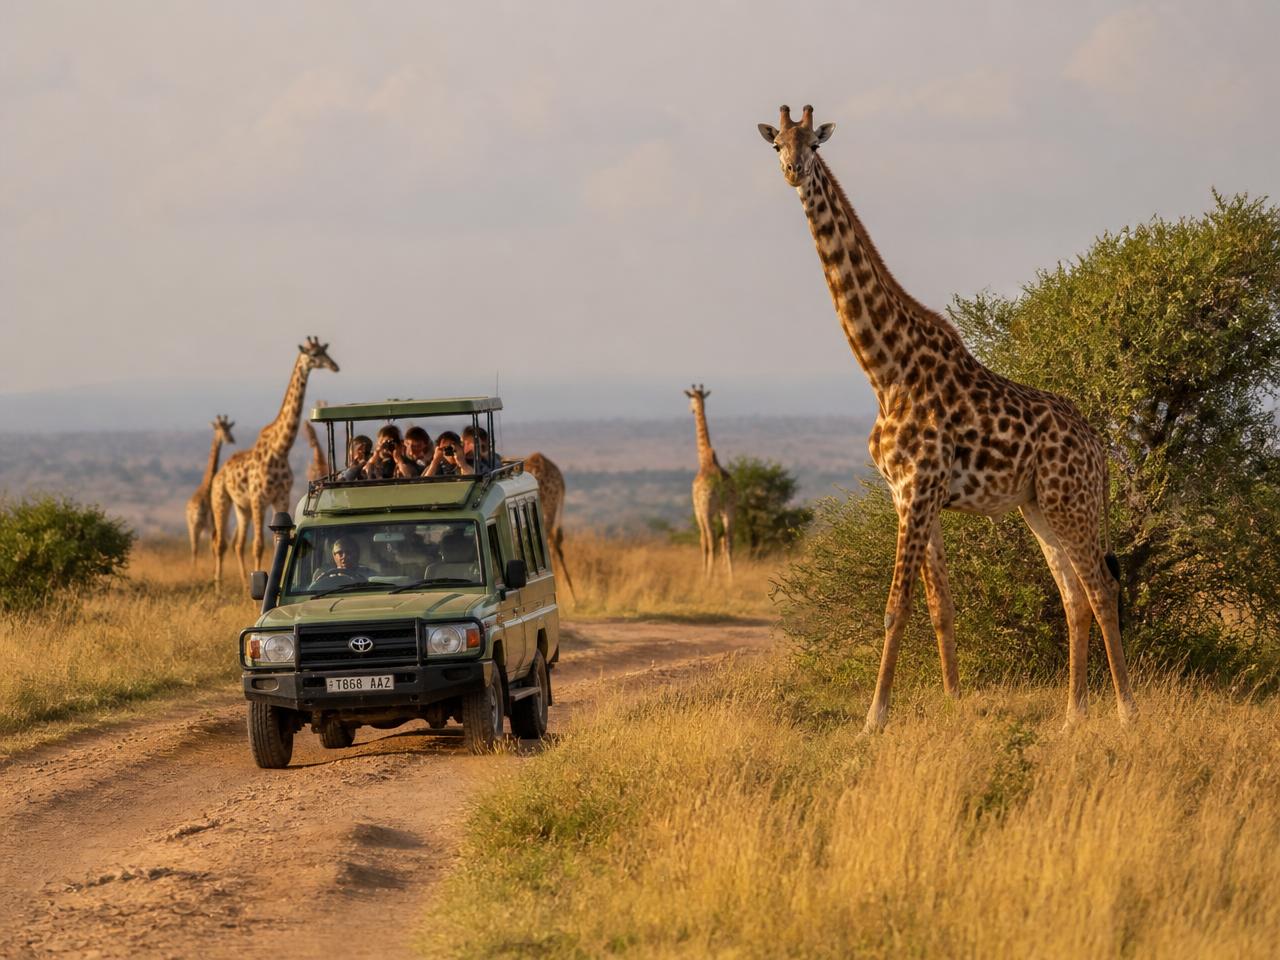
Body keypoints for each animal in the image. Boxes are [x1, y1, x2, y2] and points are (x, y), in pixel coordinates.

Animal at [184, 415, 236, 567]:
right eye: (222, 430)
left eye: (229, 428)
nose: (231, 439)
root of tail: (192, 509)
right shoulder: (212, 524)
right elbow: (212, 548)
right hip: (200, 525)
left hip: (192, 526)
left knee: (194, 549)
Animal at [210, 337, 338, 587]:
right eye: (314, 354)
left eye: (325, 351)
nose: (334, 366)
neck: (280, 450)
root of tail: (219, 474)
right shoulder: (259, 498)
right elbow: (259, 545)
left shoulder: (281, 497)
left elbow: (274, 541)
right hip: (222, 501)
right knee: (221, 543)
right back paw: (219, 585)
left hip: (242, 507)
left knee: (237, 544)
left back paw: (243, 582)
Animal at [685, 385, 736, 581]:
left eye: (691, 399)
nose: (691, 409)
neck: (706, 460)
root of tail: (720, 482)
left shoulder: (698, 510)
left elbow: (703, 540)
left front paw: (705, 572)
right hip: (729, 508)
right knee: (728, 539)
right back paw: (731, 578)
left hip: (707, 509)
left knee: (711, 538)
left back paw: (709, 576)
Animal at [758, 105, 1135, 730]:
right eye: (776, 144)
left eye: (813, 143)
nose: (792, 171)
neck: (885, 369)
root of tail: (1098, 450)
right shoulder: (909, 493)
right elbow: (940, 604)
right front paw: (955, 702)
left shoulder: (918, 486)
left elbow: (896, 605)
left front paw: (875, 717)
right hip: (1039, 505)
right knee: (1074, 597)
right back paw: (1072, 715)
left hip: (1070, 500)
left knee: (1102, 588)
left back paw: (1127, 710)